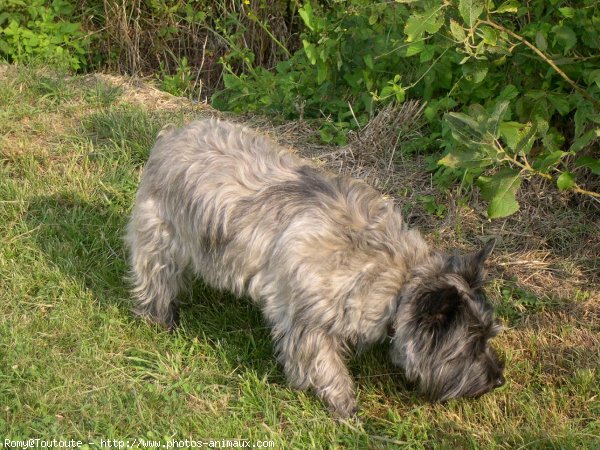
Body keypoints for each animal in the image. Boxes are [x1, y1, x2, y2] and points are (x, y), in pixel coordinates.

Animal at [127, 118, 506, 416]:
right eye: (470, 347)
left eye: (488, 336)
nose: (499, 379)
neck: (400, 277)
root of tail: (172, 136)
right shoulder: (308, 322)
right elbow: (324, 366)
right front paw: (344, 407)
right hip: (159, 237)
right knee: (155, 278)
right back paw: (159, 318)